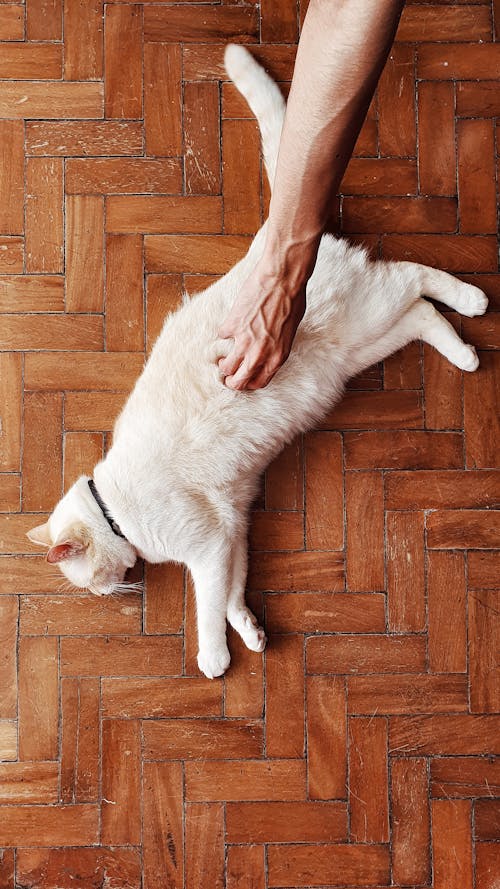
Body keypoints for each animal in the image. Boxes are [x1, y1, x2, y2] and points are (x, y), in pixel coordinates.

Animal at [28, 45, 488, 676]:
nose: (104, 592)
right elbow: (232, 594)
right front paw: (249, 632)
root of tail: (278, 234)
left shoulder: (208, 546)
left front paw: (213, 656)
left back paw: (474, 300)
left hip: (367, 312)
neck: (114, 508)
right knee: (421, 312)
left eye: (84, 578)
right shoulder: (232, 529)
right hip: (358, 348)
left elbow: (206, 603)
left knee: (414, 277)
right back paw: (464, 353)